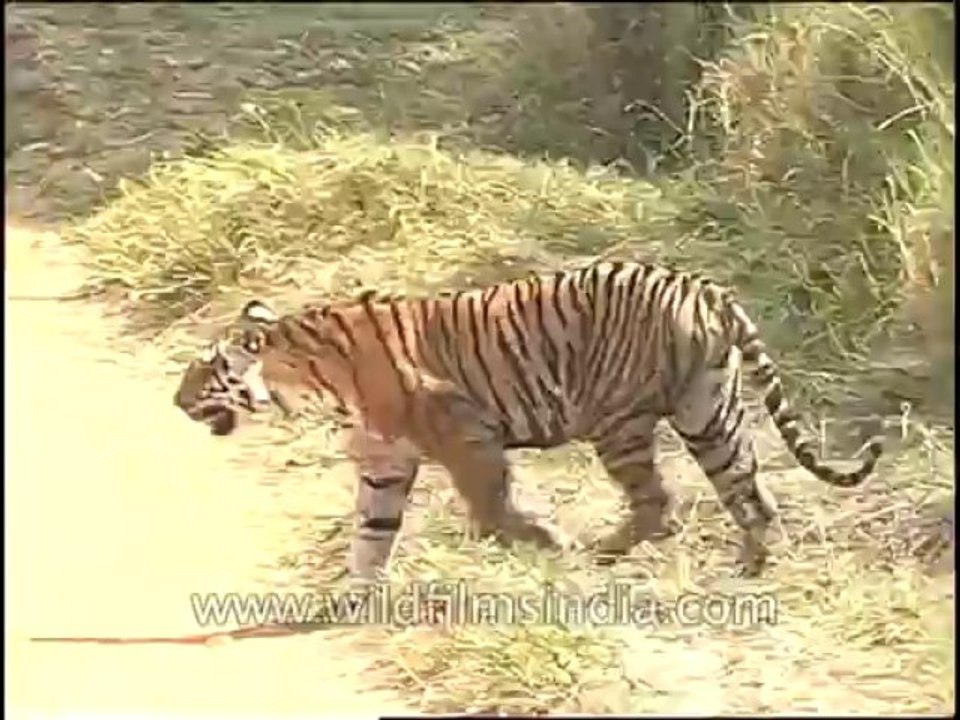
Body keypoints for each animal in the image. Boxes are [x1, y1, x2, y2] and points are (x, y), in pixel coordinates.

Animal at [174, 261, 884, 580]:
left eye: (204, 370)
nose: (175, 402)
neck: (307, 372)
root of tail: (699, 285)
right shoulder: (386, 460)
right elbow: (371, 533)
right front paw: (355, 594)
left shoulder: (463, 433)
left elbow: (491, 505)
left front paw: (543, 539)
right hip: (709, 410)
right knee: (747, 491)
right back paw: (755, 563)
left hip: (619, 421)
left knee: (660, 501)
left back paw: (602, 550)